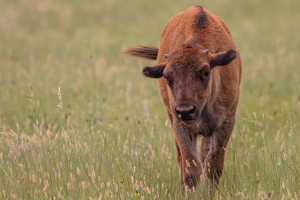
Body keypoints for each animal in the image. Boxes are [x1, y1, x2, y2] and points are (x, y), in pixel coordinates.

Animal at [122, 5, 241, 191]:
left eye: (206, 71)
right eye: (167, 77)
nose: (185, 111)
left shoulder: (225, 124)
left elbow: (213, 166)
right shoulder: (181, 127)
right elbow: (191, 168)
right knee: (182, 158)